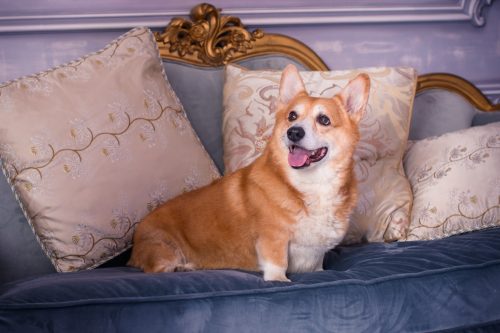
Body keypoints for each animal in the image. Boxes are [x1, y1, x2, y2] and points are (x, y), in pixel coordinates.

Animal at [128, 64, 372, 280]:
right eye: (292, 116)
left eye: (324, 120)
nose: (293, 132)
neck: (312, 184)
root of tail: (134, 244)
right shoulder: (273, 241)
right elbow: (277, 269)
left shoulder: (315, 261)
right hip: (163, 249)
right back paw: (184, 267)